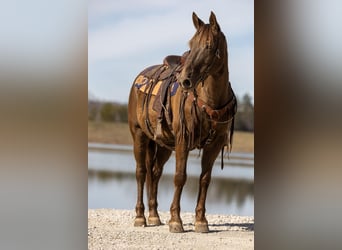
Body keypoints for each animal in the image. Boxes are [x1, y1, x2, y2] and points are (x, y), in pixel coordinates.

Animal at [127, 10, 236, 233]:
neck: (210, 99)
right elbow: (180, 177)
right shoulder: (183, 139)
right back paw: (141, 217)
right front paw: (176, 220)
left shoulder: (215, 144)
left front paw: (201, 221)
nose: (185, 80)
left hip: (163, 145)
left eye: (209, 46)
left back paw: (154, 215)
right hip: (139, 135)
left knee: (155, 172)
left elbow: (205, 179)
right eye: (191, 44)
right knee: (141, 172)